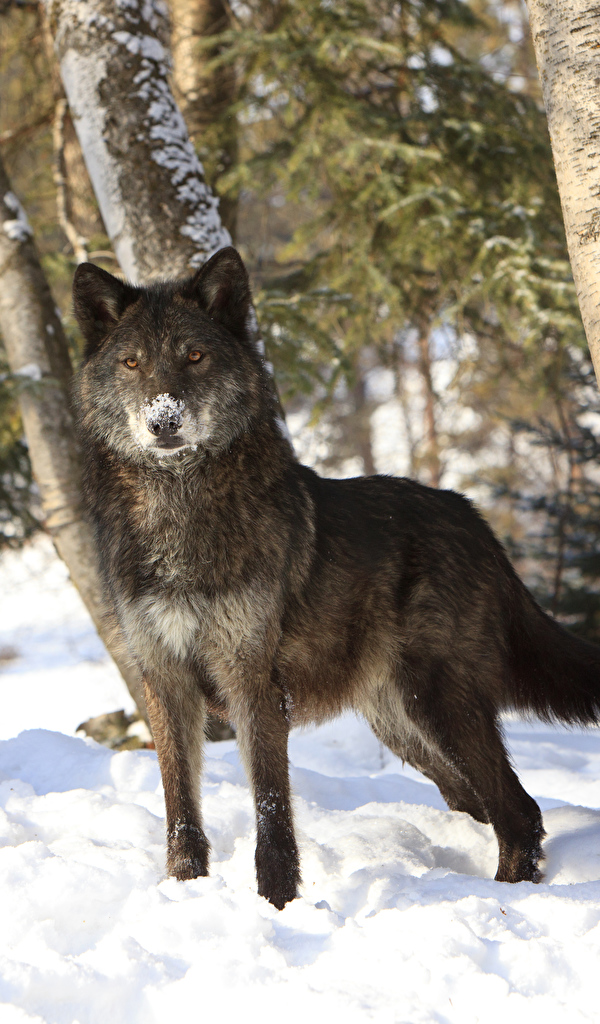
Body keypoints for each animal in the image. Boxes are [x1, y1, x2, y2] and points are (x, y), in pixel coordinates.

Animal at [72, 246, 600, 909]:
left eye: (194, 356)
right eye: (132, 362)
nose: (163, 421)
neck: (179, 514)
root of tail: (474, 519)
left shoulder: (252, 682)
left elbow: (272, 810)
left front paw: (277, 906)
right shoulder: (164, 683)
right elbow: (180, 814)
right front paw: (185, 891)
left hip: (440, 704)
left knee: (520, 812)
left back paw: (504, 901)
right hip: (403, 725)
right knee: (483, 804)